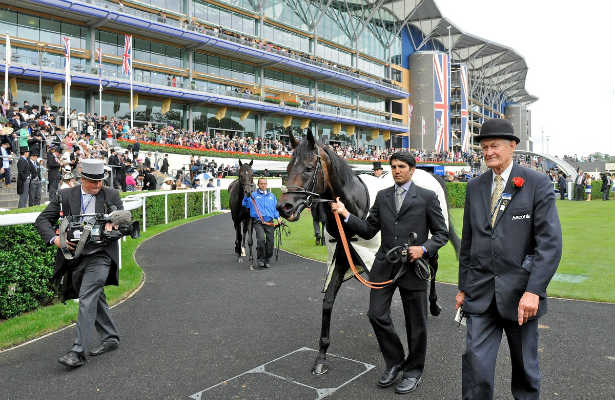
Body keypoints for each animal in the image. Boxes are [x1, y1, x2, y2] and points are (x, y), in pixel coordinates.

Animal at [276, 130, 460, 376]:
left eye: (308, 168)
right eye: (287, 168)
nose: (283, 207)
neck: (357, 205)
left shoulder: (379, 261)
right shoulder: (341, 260)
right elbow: (329, 302)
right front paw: (321, 356)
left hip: (430, 240)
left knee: (433, 268)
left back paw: (433, 305)